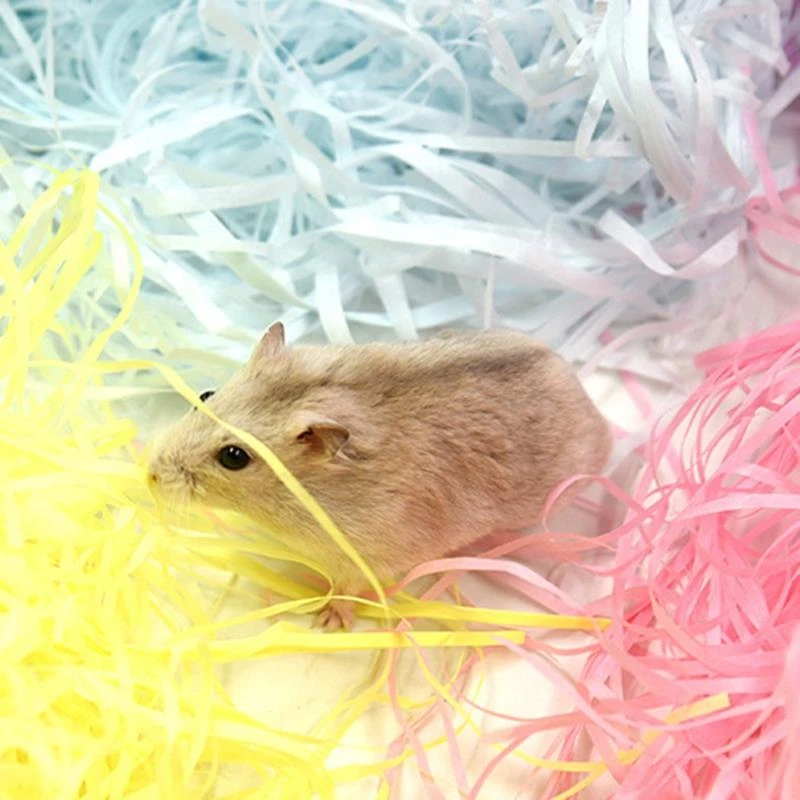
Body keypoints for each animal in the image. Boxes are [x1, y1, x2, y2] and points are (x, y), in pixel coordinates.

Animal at [148, 323, 612, 630]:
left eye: (233, 456)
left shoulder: (367, 557)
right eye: (205, 395)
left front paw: (325, 621)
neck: (308, 493)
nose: (150, 474)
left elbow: (346, 589)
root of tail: (588, 402)